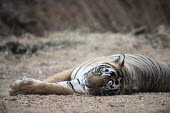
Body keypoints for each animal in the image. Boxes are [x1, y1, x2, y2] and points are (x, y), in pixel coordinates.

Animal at [9, 53, 170, 95]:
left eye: (106, 86)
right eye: (100, 71)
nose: (87, 83)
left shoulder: (75, 86)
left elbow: (51, 87)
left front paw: (19, 87)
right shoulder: (72, 70)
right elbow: (51, 79)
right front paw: (17, 86)